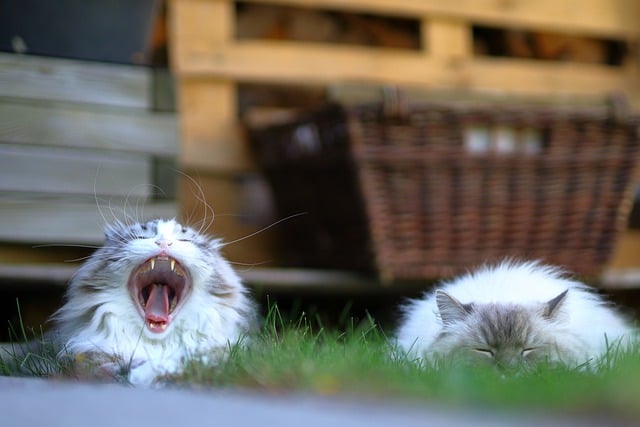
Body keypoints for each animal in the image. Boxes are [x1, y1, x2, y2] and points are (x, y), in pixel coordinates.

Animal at [18, 219, 258, 386]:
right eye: (142, 236)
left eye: (185, 240)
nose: (164, 242)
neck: (156, 344)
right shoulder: (83, 358)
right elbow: (115, 367)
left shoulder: (225, 354)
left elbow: (194, 361)